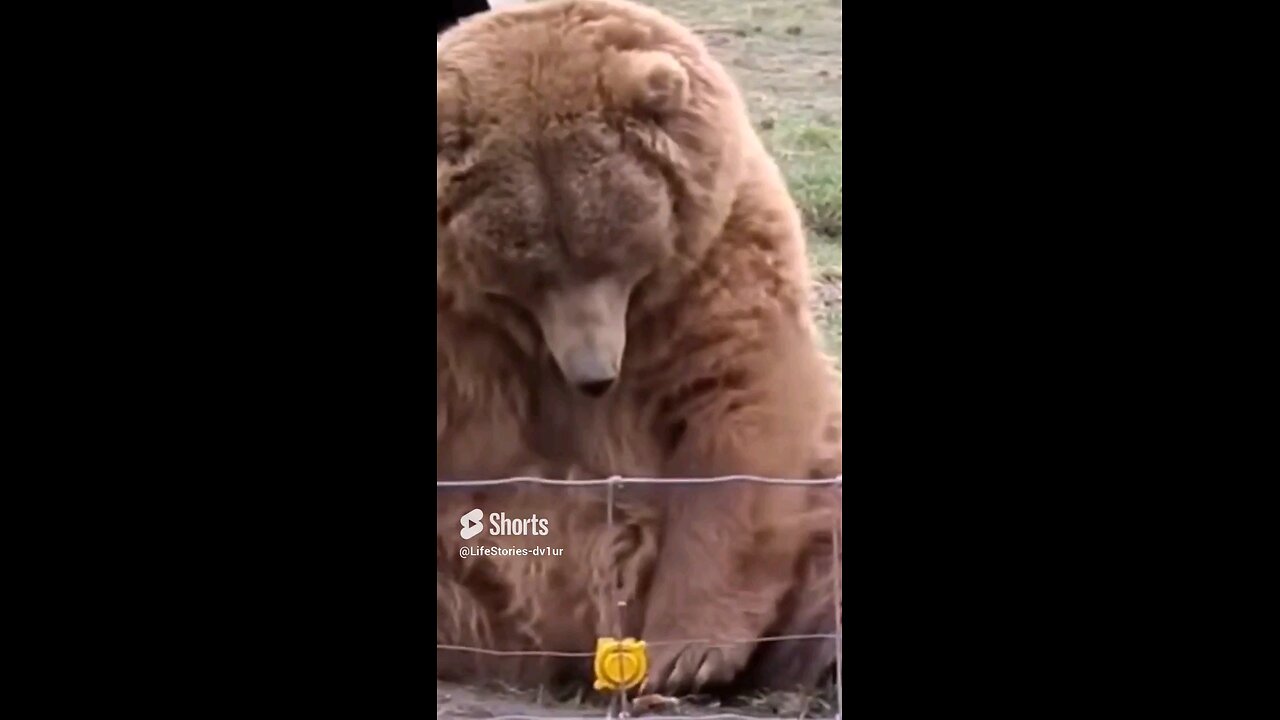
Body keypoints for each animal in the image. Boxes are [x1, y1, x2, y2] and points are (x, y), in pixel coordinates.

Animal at [437, 0, 839, 696]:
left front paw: (689, 653)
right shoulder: (460, 332)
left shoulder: (709, 261)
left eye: (611, 251)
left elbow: (737, 410)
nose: (594, 376)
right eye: (526, 271)